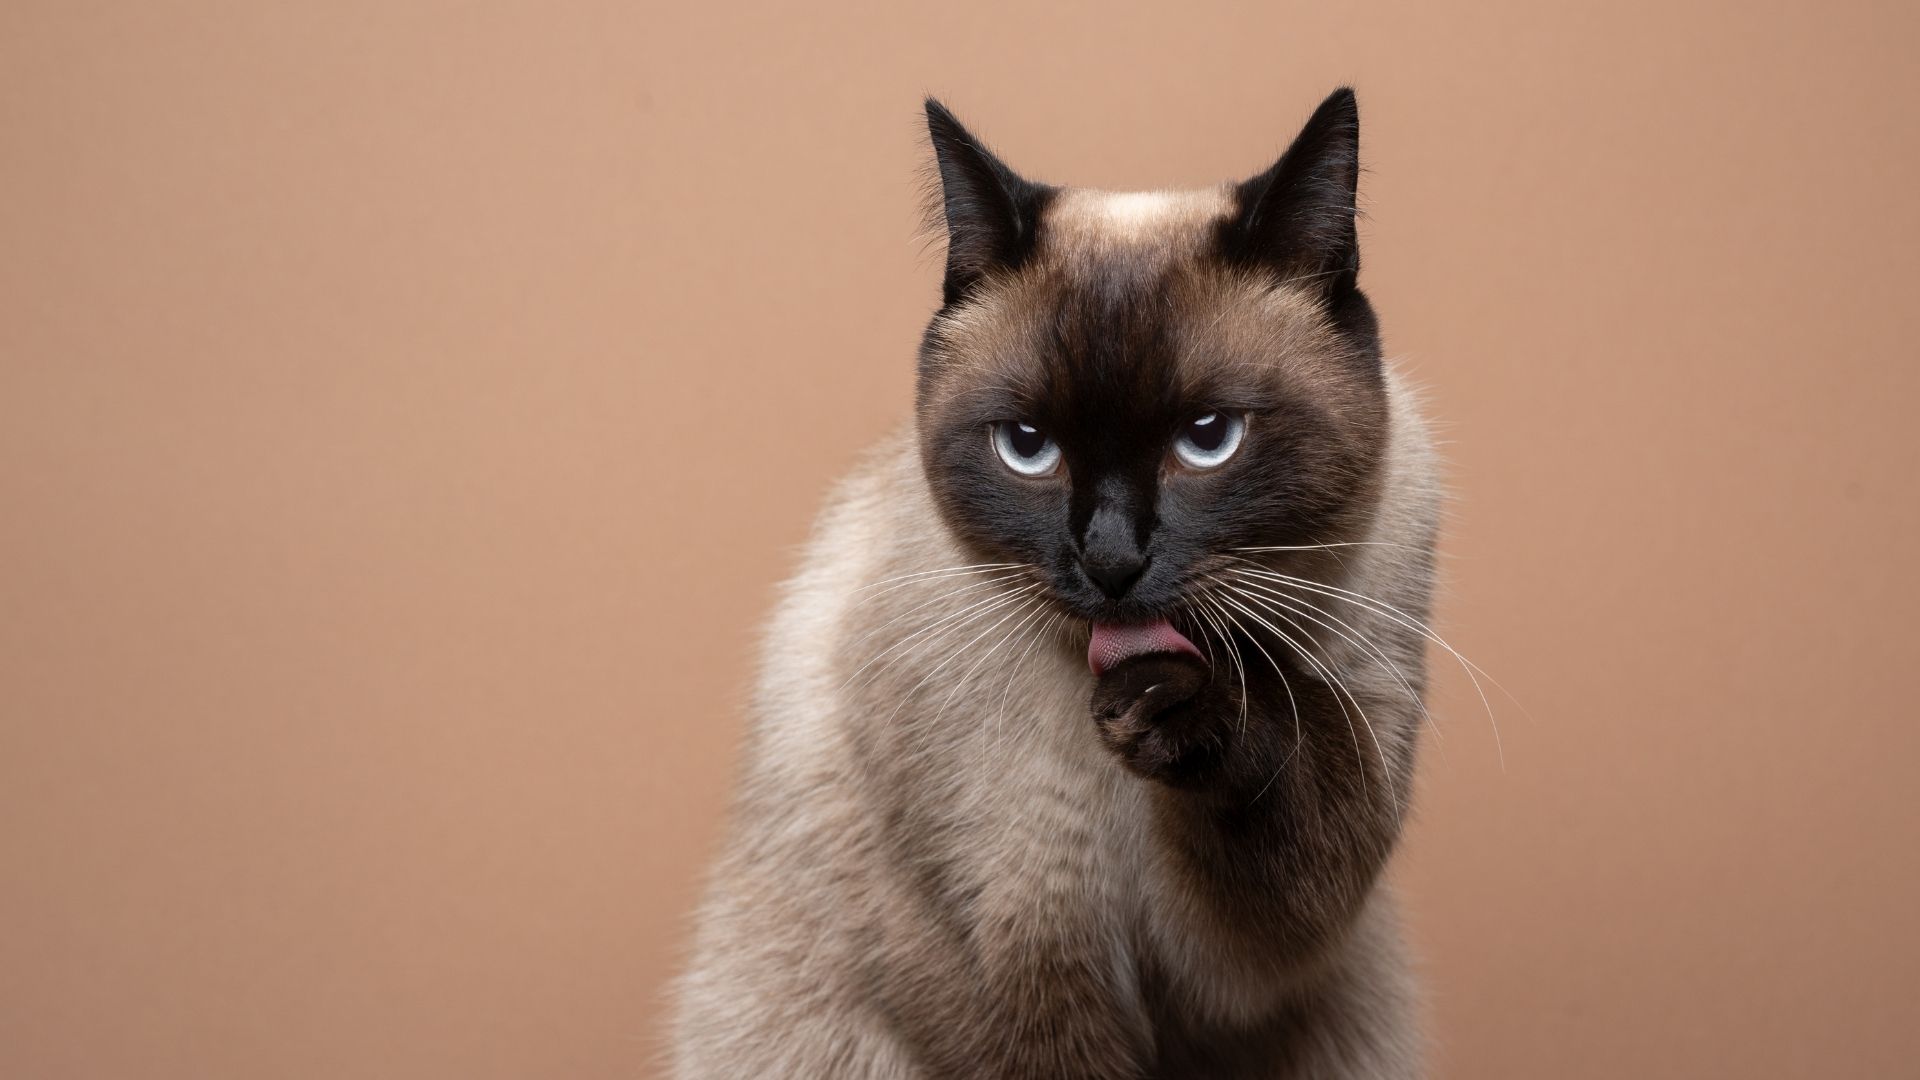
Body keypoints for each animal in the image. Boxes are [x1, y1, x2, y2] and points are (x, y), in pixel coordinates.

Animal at [675, 88, 1443, 1068]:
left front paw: (1182, 705)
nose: (1110, 560)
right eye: (1027, 447)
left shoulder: (1239, 964)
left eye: (1209, 438)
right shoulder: (1016, 951)